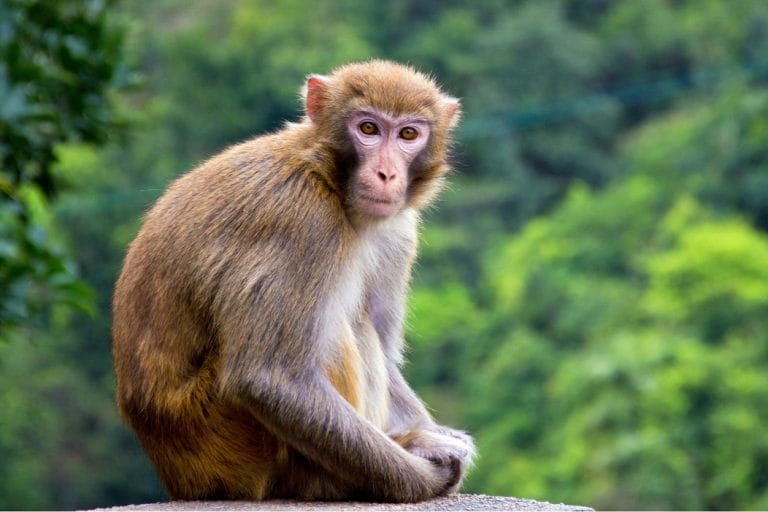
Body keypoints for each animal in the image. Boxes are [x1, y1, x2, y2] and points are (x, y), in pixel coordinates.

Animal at [112, 60, 475, 503]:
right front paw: (425, 476)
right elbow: (270, 379)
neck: (327, 178)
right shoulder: (301, 222)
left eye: (408, 134)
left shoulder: (399, 231)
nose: (387, 174)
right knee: (338, 330)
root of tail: (182, 479)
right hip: (234, 442)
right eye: (368, 129)